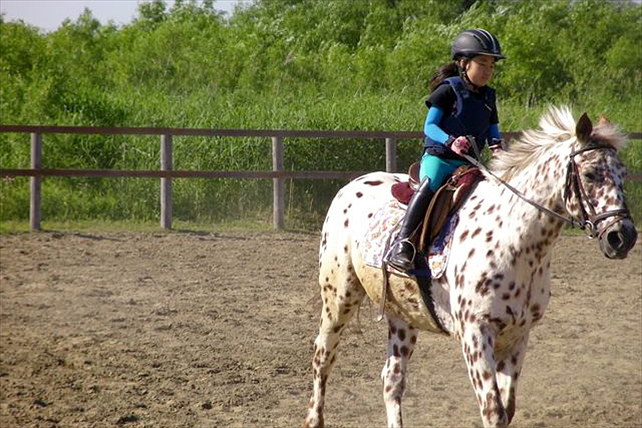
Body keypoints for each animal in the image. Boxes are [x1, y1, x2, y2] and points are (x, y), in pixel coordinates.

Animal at [303, 106, 637, 428]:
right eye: (591, 174)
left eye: (622, 173)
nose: (623, 237)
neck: (512, 239)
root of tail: (350, 186)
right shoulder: (475, 334)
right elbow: (493, 411)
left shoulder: (518, 335)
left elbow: (507, 409)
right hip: (339, 298)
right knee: (323, 356)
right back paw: (313, 418)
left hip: (403, 316)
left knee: (392, 380)